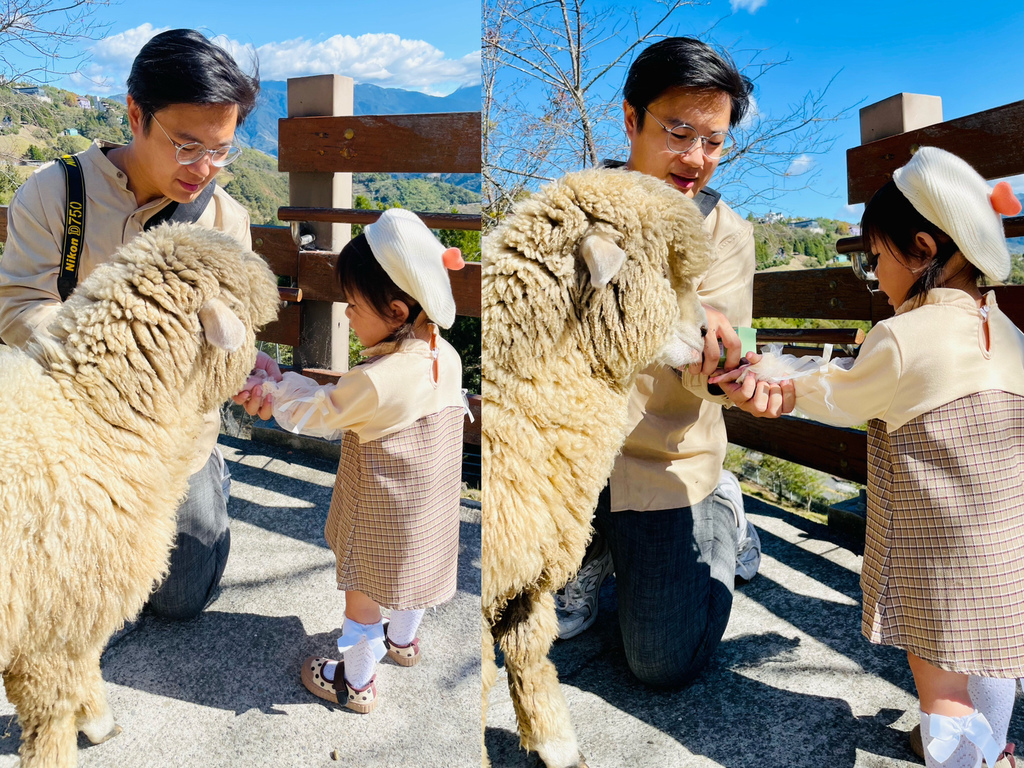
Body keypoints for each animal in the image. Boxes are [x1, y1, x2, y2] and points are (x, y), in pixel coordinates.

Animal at [0, 219, 280, 765]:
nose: (260, 366)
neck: (95, 413)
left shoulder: (62, 617)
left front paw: (98, 720)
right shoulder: (52, 621)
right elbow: (54, 717)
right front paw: (91, 726)